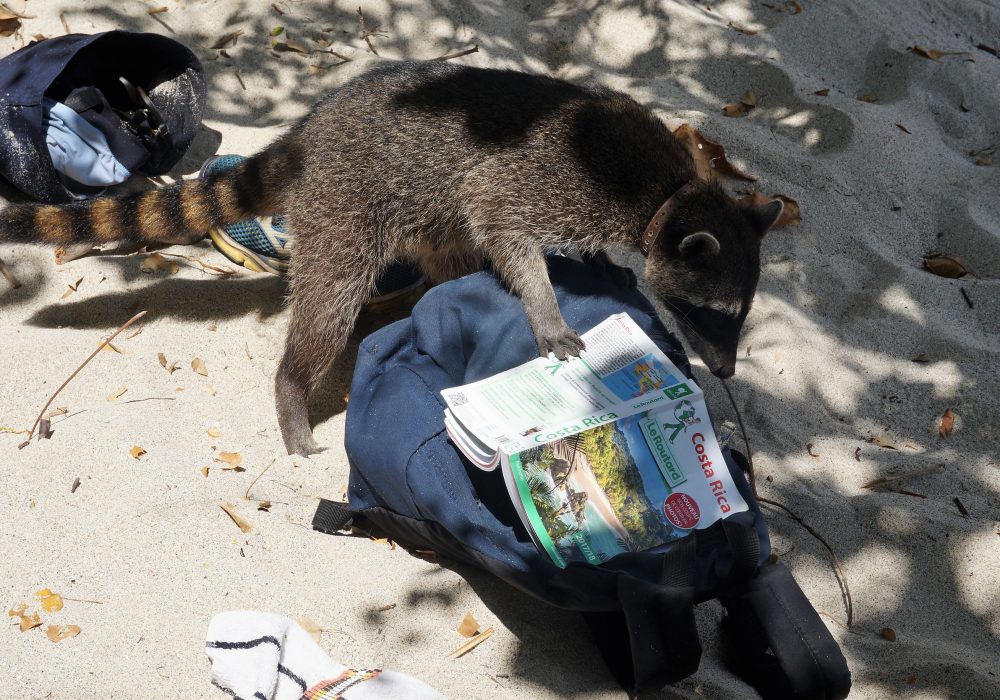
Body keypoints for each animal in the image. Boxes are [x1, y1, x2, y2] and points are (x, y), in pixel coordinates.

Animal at [0, 58, 780, 454]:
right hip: (346, 206)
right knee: (329, 303)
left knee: (446, 255)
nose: (725, 369)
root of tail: (307, 133)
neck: (674, 192)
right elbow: (503, 220)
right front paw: (545, 305)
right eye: (710, 312)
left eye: (739, 314)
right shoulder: (552, 181)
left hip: (417, 209)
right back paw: (294, 388)